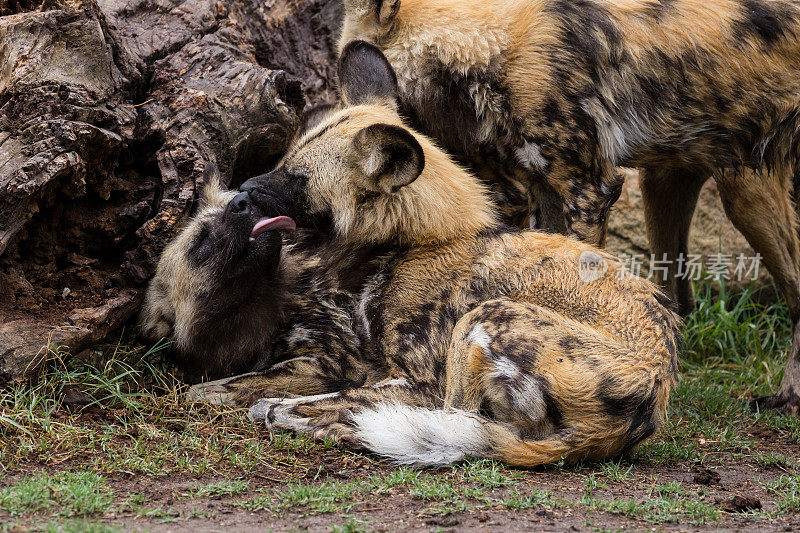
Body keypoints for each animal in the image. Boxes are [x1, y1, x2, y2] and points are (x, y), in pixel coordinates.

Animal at [181, 42, 680, 466]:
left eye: (297, 179)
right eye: (283, 160)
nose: (244, 189)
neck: (414, 242)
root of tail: (648, 398)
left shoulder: (416, 381)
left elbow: (287, 398)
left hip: (484, 321)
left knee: (448, 422)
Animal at [338, 1, 800, 412]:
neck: (492, 49)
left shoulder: (588, 189)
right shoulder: (542, 191)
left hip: (743, 194)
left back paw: (786, 397)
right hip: (668, 183)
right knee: (681, 299)